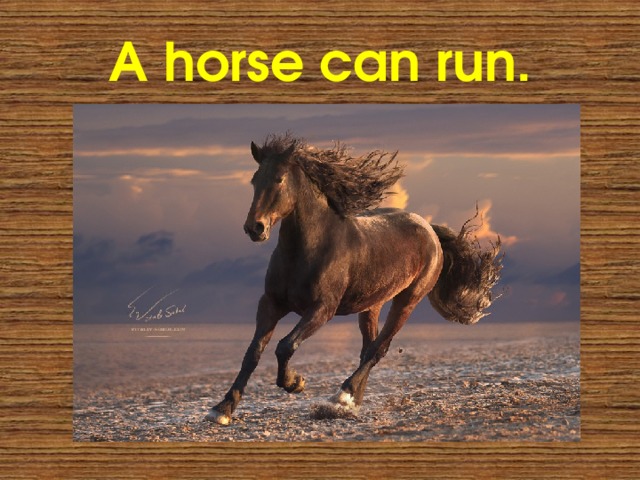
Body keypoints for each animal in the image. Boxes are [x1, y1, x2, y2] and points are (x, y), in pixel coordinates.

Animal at [206, 134, 503, 425]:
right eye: (254, 180)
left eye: (279, 178)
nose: (255, 228)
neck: (309, 248)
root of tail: (429, 229)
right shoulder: (271, 303)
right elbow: (253, 352)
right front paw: (223, 409)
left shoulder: (322, 309)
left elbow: (285, 345)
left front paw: (295, 383)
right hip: (372, 305)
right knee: (368, 348)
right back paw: (351, 401)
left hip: (408, 300)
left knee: (378, 348)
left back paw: (343, 396)